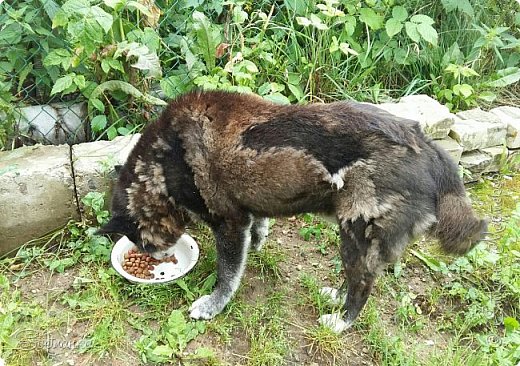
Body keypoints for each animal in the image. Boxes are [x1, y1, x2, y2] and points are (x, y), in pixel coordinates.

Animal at [98, 89, 488, 332]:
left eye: (143, 244)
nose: (154, 257)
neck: (163, 162)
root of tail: (423, 142)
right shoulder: (247, 211)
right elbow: (257, 229)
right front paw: (257, 246)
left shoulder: (228, 222)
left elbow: (227, 275)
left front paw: (212, 305)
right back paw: (334, 296)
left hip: (355, 234)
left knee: (363, 286)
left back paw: (342, 321)